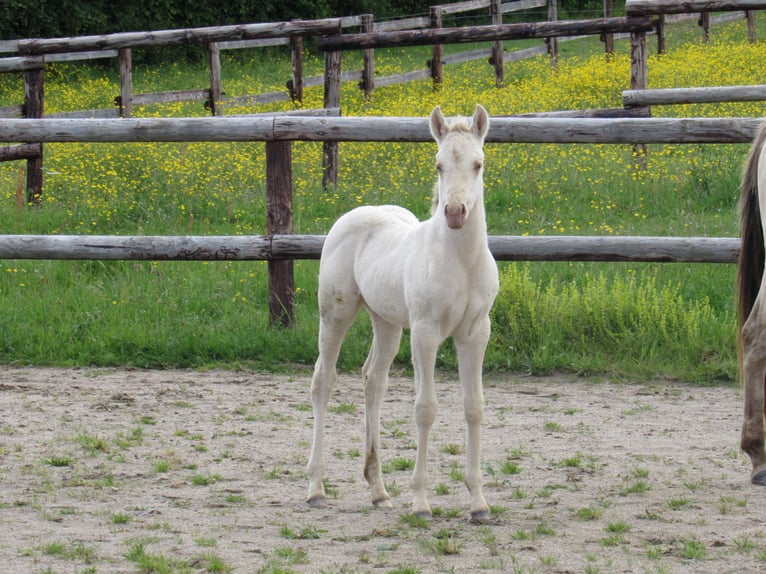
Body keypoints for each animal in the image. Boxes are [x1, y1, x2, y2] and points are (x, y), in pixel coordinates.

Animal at [306, 104, 498, 521]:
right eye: (439, 165)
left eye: (478, 164)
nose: (455, 212)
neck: (461, 262)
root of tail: (351, 215)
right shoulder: (425, 333)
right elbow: (425, 409)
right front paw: (421, 501)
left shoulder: (475, 333)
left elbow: (473, 408)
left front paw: (478, 502)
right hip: (334, 315)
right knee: (323, 381)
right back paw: (315, 488)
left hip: (387, 323)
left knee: (373, 380)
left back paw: (378, 491)